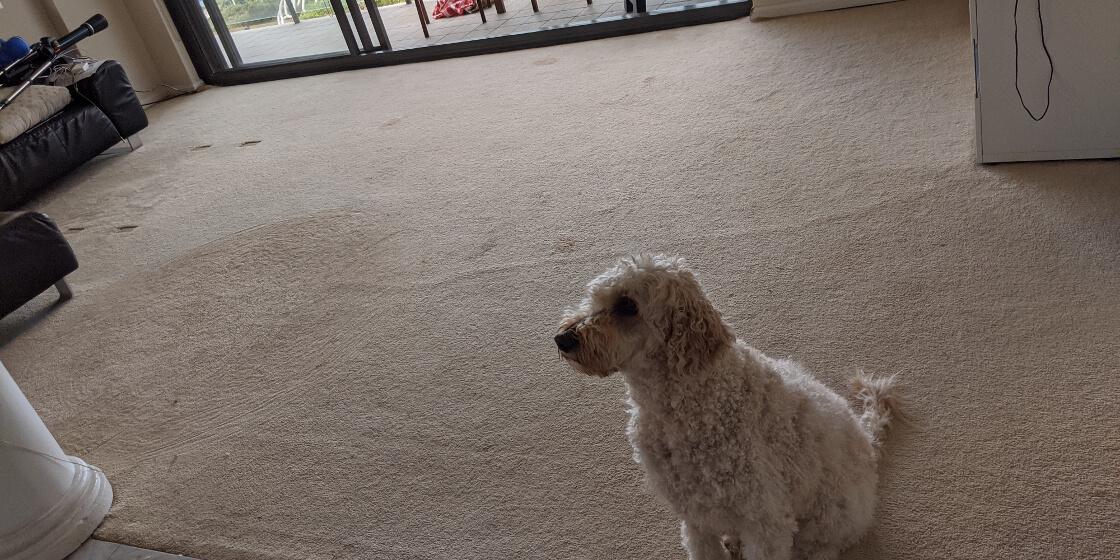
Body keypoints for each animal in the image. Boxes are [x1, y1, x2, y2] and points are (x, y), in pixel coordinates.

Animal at [553, 256, 900, 557]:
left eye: (627, 305)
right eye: (594, 296)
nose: (562, 339)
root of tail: (868, 442)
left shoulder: (766, 523)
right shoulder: (694, 516)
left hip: (826, 519)